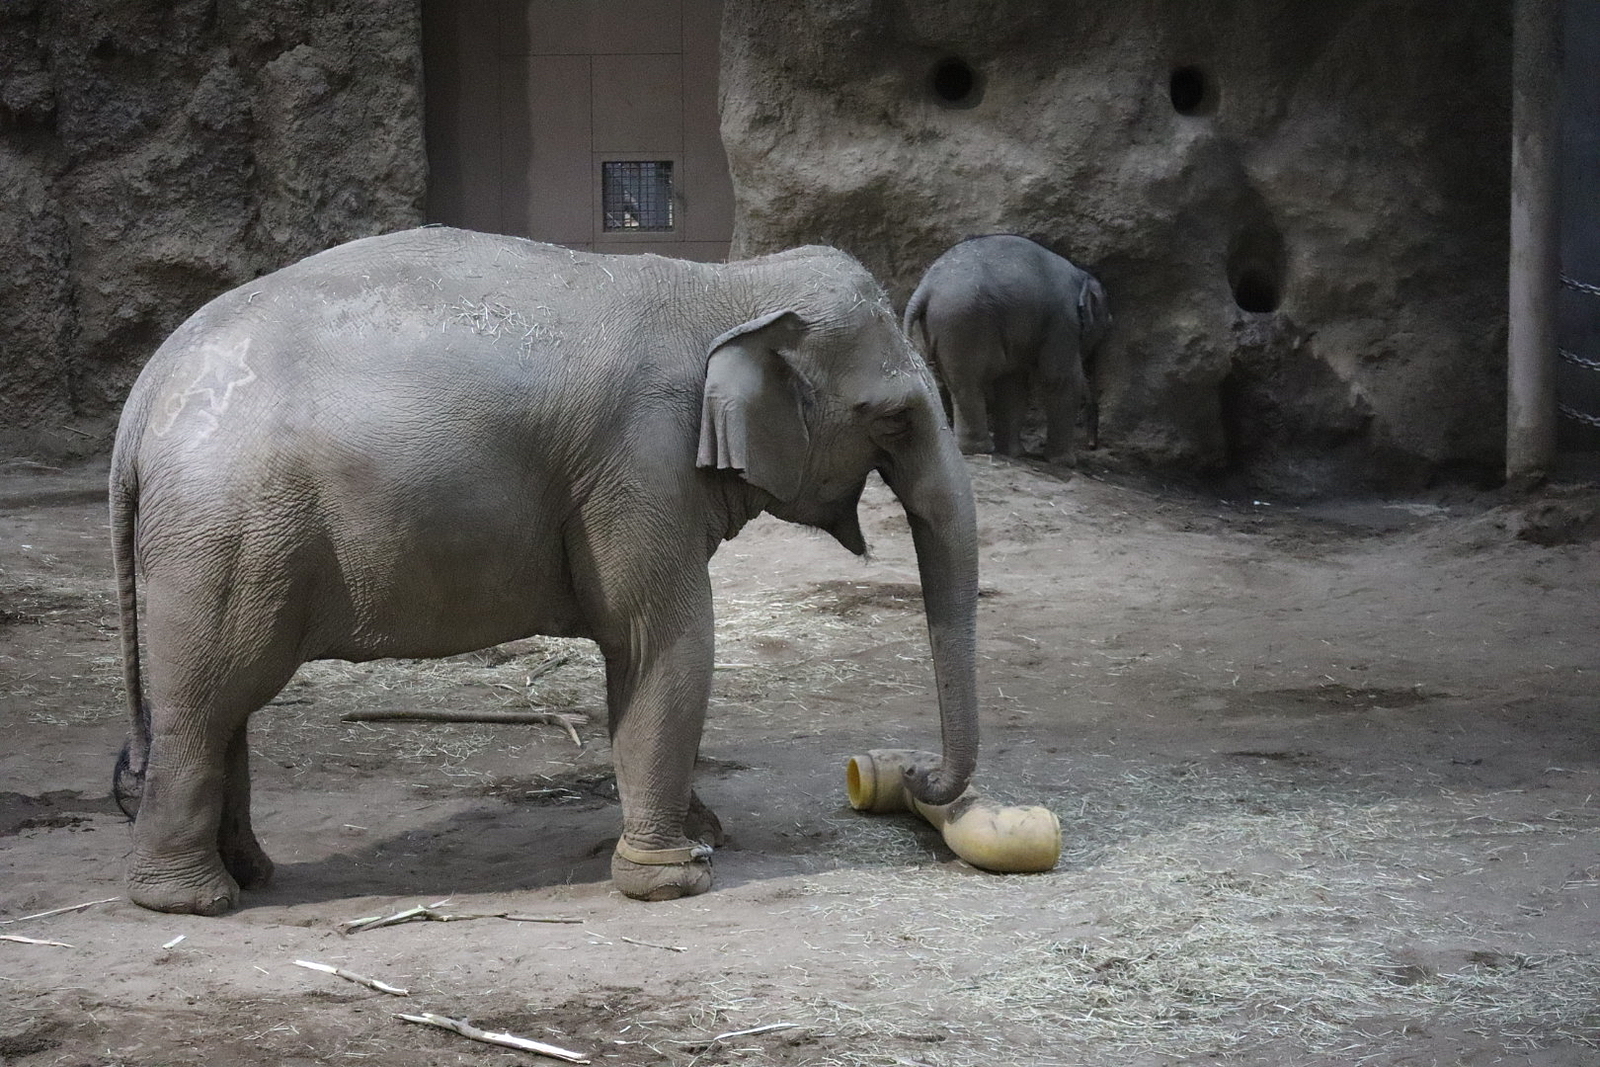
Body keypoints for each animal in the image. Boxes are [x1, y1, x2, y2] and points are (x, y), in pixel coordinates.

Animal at [112, 231, 979, 921]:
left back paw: (250, 873)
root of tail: (143, 396)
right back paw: (193, 898)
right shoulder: (641, 463)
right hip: (227, 533)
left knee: (226, 700)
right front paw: (676, 875)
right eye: (893, 417)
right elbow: (664, 640)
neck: (726, 285)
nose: (913, 773)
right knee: (207, 696)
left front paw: (703, 833)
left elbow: (642, 657)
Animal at [908, 238, 1107, 463]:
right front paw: (1065, 462)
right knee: (969, 382)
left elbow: (1013, 384)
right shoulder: (1064, 321)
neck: (1081, 276)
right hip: (964, 321)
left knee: (953, 382)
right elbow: (1059, 379)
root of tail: (925, 287)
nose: (1092, 445)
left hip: (938, 326)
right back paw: (981, 449)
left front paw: (1015, 453)